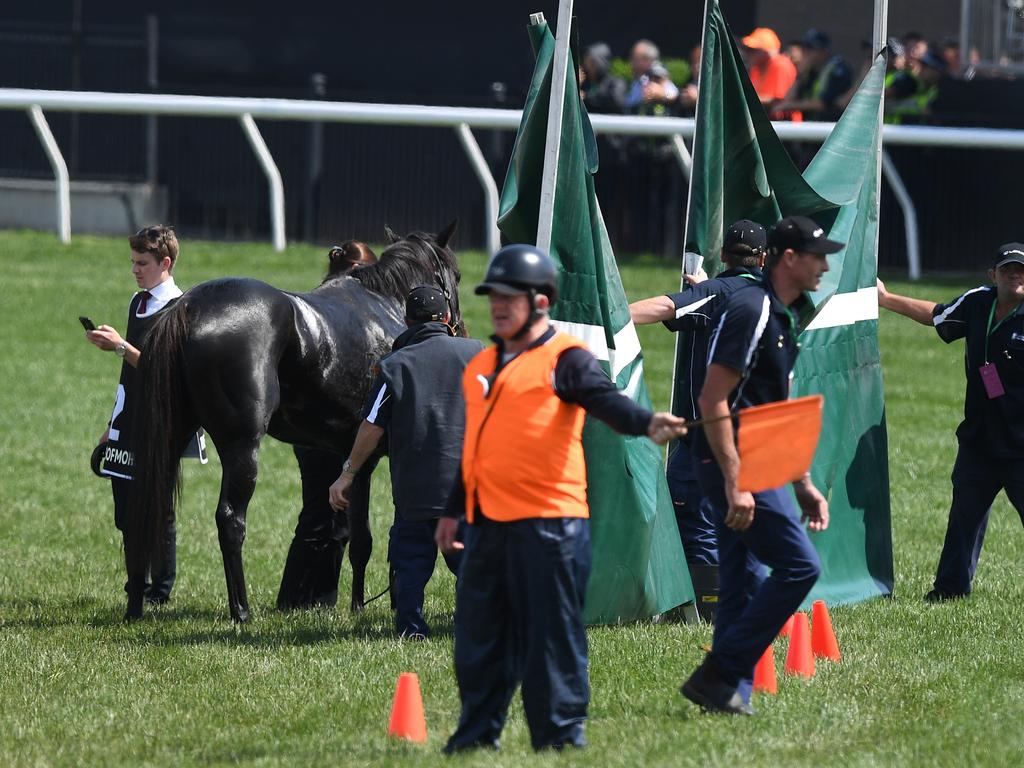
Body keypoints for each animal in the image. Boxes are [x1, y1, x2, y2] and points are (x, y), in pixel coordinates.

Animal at [125, 222, 462, 626]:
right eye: (456, 274)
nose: (459, 327)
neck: (384, 305)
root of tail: (188, 308)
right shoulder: (373, 457)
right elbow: (371, 539)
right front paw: (366, 606)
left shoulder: (349, 456)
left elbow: (355, 535)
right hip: (241, 447)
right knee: (230, 521)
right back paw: (241, 611)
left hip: (171, 438)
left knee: (148, 507)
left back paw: (135, 607)